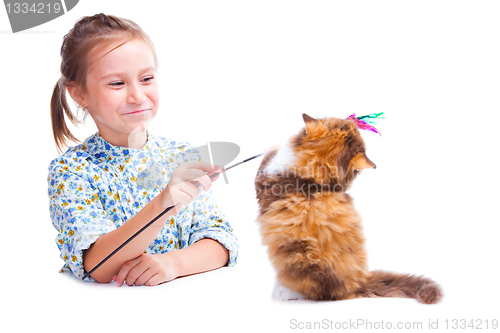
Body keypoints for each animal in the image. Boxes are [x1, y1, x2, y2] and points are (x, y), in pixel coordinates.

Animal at [256, 114, 444, 304]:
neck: (312, 179)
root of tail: (358, 282)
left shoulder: (266, 177)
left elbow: (268, 157)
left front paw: (271, 146)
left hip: (299, 255)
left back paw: (283, 291)